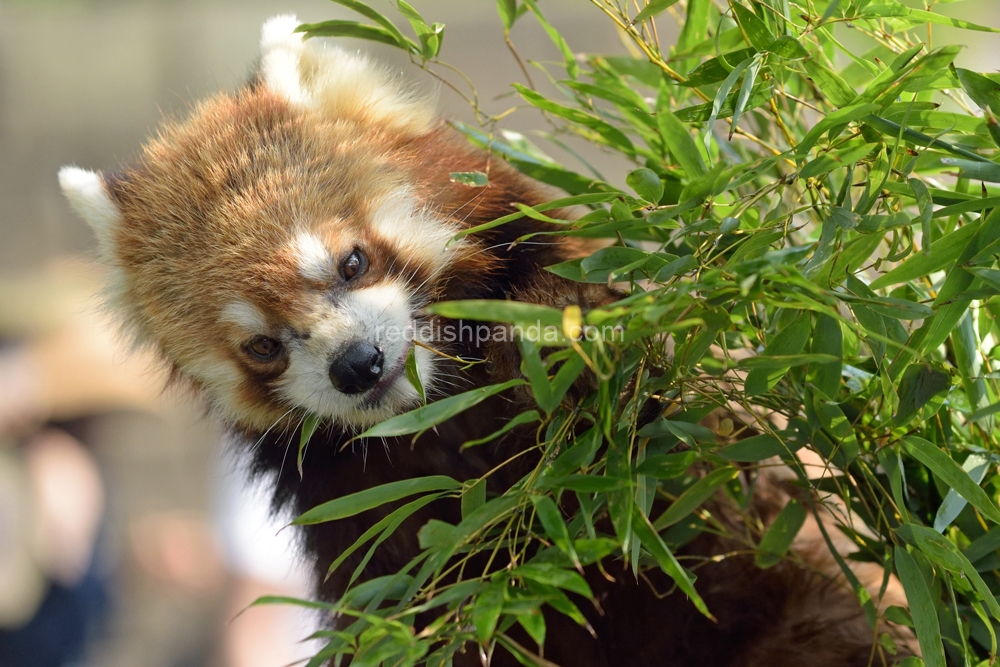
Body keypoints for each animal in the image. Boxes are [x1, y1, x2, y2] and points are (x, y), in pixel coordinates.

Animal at [62, 15, 916, 667]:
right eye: (263, 347)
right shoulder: (363, 514)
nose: (357, 365)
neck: (446, 409)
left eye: (352, 261)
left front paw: (558, 336)